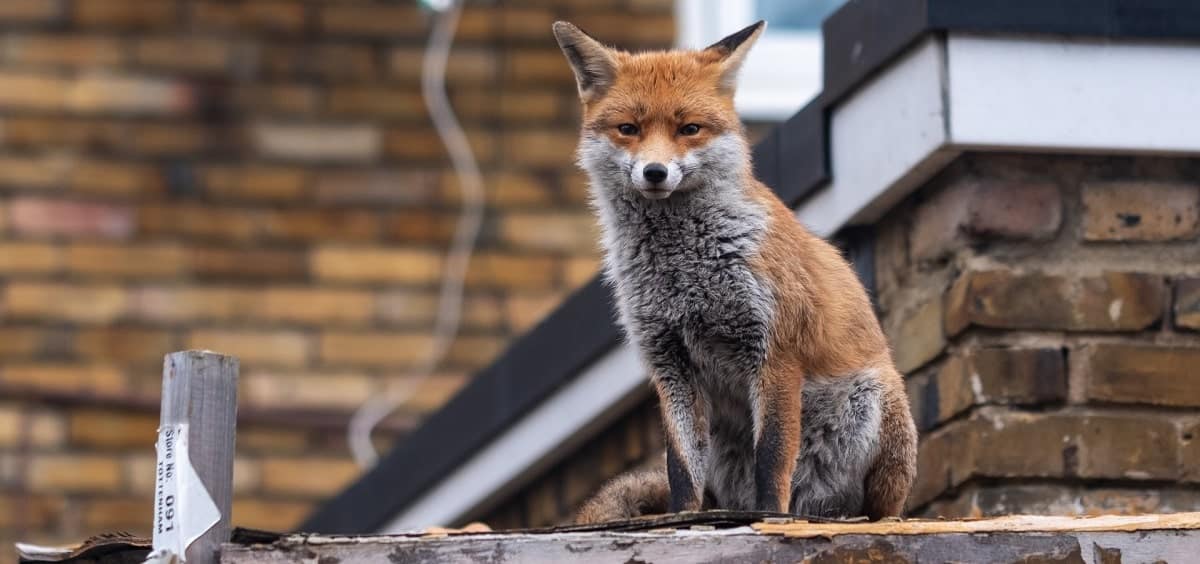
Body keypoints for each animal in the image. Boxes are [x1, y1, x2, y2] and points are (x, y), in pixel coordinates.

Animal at [552, 20, 918, 524]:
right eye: (629, 129)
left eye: (689, 129)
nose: (654, 172)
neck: (685, 273)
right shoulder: (670, 364)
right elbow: (681, 470)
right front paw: (681, 520)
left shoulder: (775, 351)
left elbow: (773, 458)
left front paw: (770, 519)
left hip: (874, 400)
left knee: (874, 505)